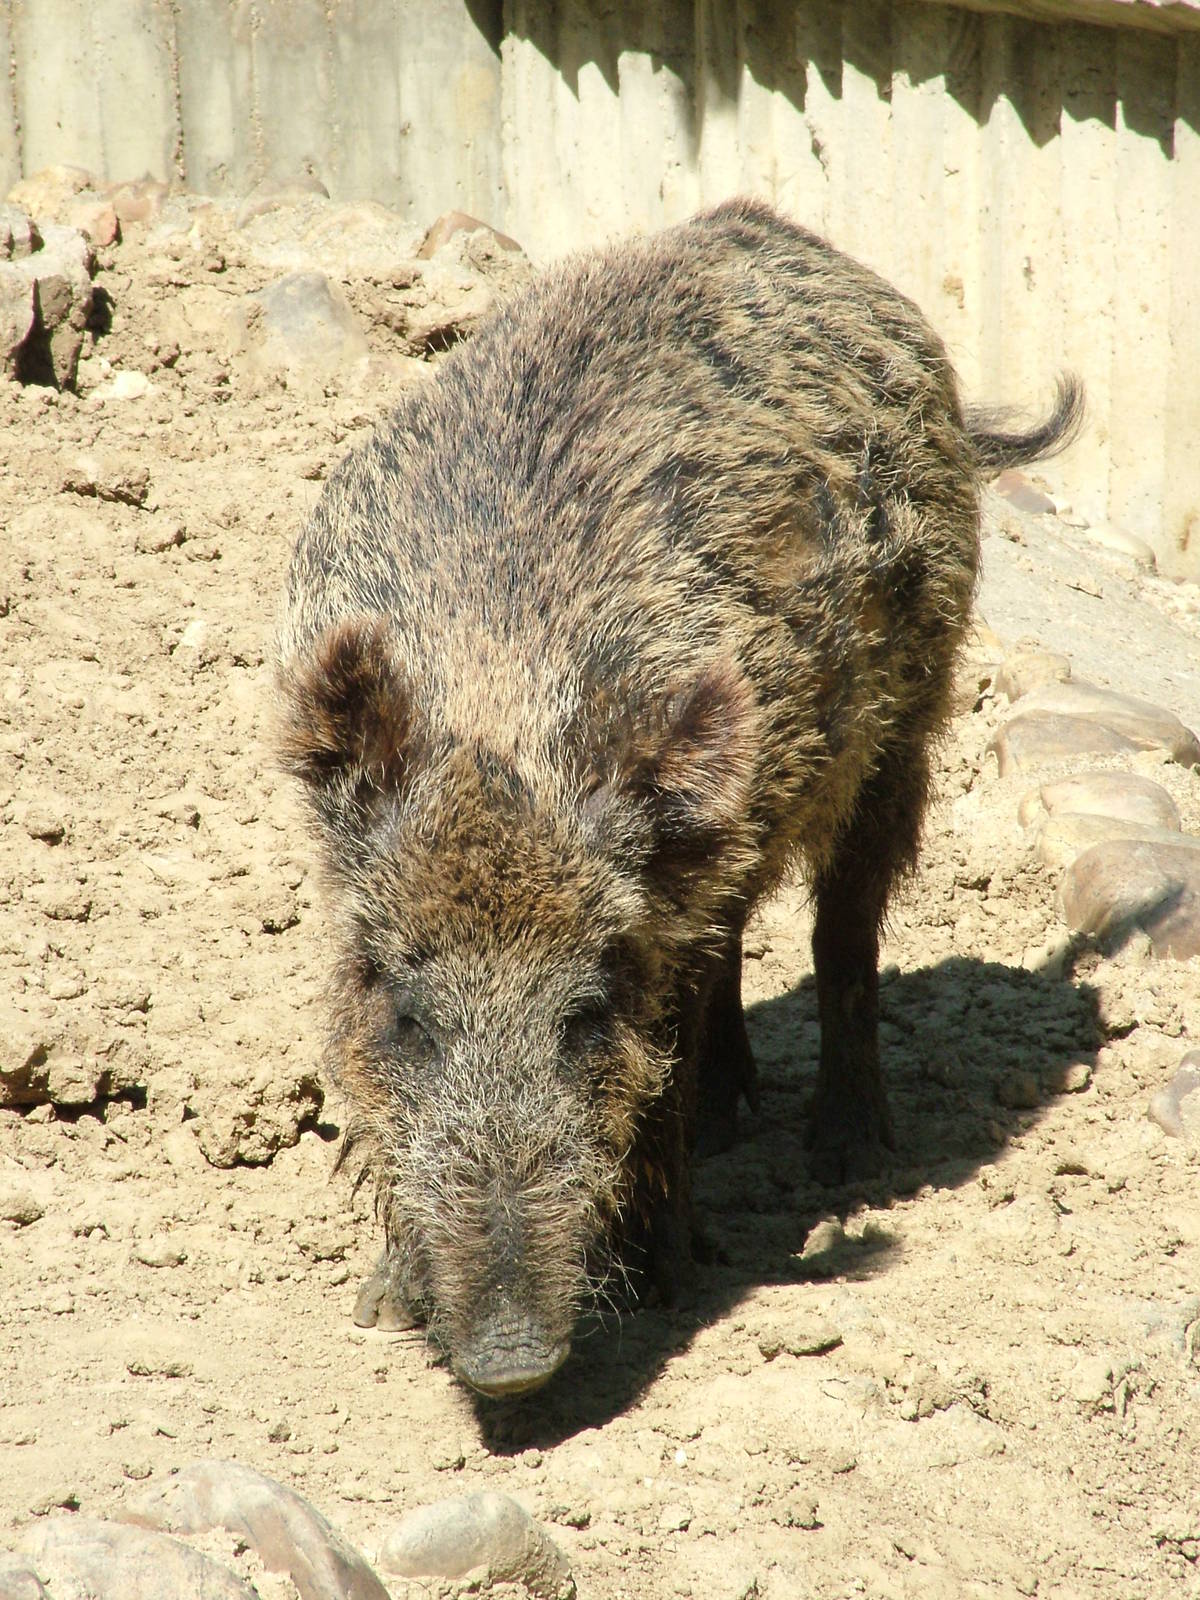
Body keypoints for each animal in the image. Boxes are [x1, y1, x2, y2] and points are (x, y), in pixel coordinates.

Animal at [276, 198, 1081, 1397]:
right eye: (404, 1009)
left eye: (586, 1012)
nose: (511, 1362)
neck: (501, 688)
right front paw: (381, 1307)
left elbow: (668, 1061)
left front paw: (671, 1282)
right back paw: (735, 1116)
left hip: (910, 717)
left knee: (846, 928)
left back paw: (841, 1151)